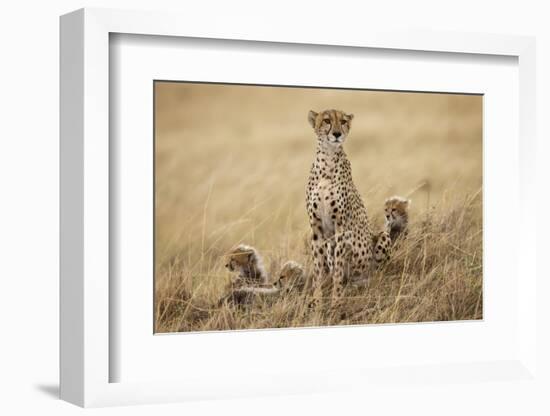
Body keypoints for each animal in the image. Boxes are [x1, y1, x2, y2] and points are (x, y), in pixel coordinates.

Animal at [304, 109, 390, 304]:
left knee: (376, 272)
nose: (337, 134)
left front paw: (336, 300)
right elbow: (318, 270)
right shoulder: (317, 228)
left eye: (343, 121)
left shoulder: (341, 227)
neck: (327, 160)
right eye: (327, 120)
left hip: (381, 238)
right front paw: (318, 301)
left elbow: (338, 268)